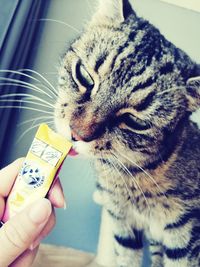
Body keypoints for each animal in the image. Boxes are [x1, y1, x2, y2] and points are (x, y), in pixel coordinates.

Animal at [54, 0, 200, 267]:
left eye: (134, 121)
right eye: (85, 76)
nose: (76, 134)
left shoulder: (185, 234)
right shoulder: (122, 222)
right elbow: (126, 258)